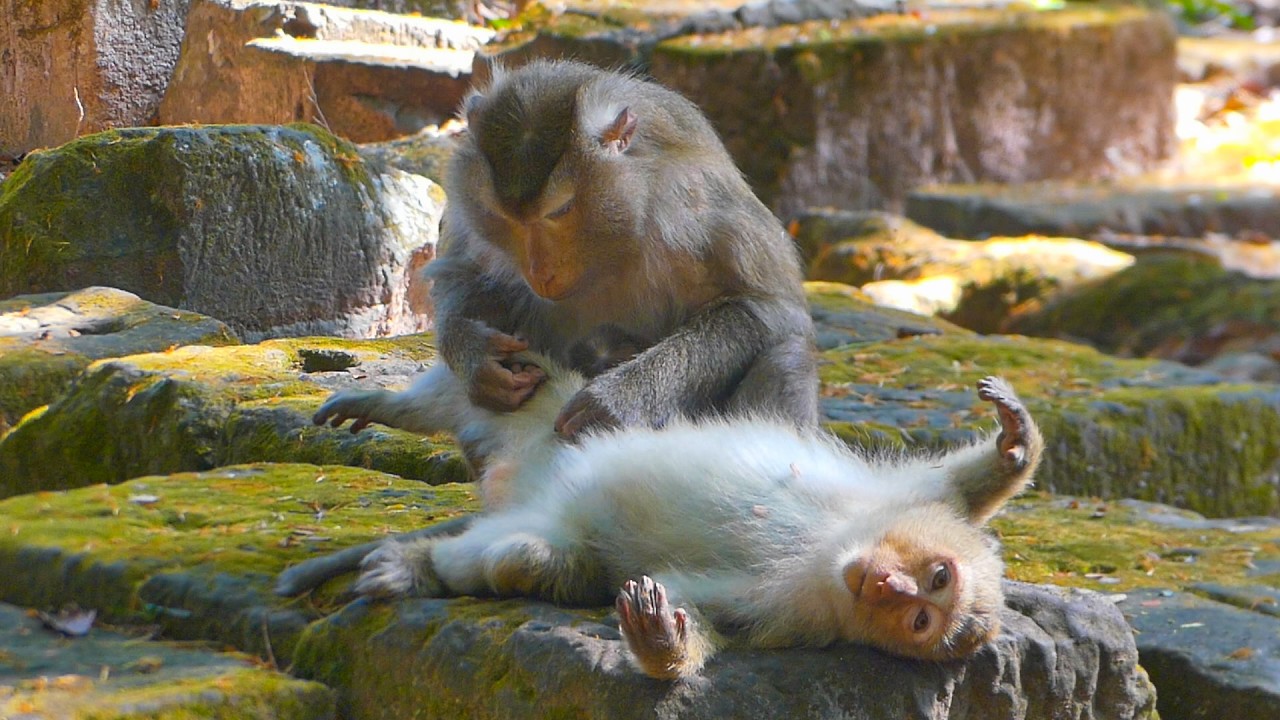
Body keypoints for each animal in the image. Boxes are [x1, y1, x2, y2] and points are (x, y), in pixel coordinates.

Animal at [352, 374, 1043, 680]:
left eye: (920, 619)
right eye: (937, 576)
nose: (887, 587)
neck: (829, 552)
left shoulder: (795, 617)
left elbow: (707, 614)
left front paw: (662, 642)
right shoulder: (885, 505)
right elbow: (950, 488)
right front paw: (1014, 448)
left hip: (550, 510)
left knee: (522, 555)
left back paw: (428, 567)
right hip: (566, 426)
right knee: (530, 392)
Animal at [430, 59, 819, 439]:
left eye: (559, 211)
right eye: (503, 218)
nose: (539, 272)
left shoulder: (694, 206)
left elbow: (766, 309)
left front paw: (617, 399)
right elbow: (461, 270)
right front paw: (478, 357)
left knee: (788, 359)